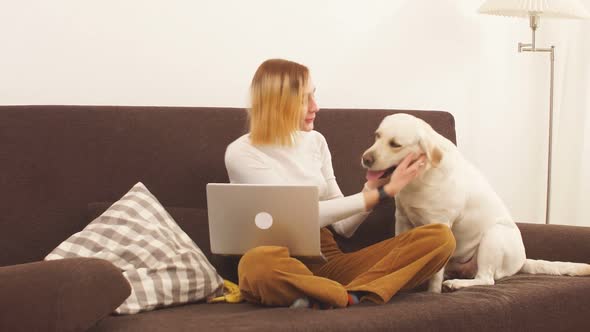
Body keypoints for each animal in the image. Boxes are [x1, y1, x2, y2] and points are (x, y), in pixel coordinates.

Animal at [360, 113, 590, 292]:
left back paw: (456, 284)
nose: (365, 159)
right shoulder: (402, 219)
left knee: (486, 279)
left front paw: (432, 293)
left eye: (395, 145)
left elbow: (435, 275)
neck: (419, 178)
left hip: (493, 237)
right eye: (377, 136)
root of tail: (522, 261)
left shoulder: (441, 225)